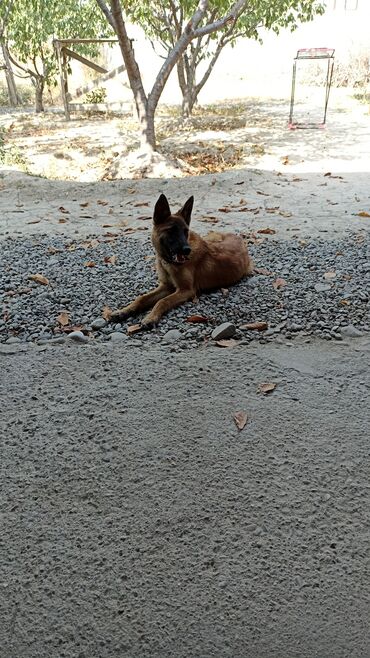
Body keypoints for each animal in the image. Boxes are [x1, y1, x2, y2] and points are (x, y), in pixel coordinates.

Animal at [110, 193, 254, 328]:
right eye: (171, 231)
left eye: (185, 231)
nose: (187, 250)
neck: (167, 262)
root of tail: (239, 238)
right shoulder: (166, 286)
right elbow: (141, 298)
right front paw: (123, 311)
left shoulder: (186, 290)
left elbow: (162, 301)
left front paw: (151, 317)